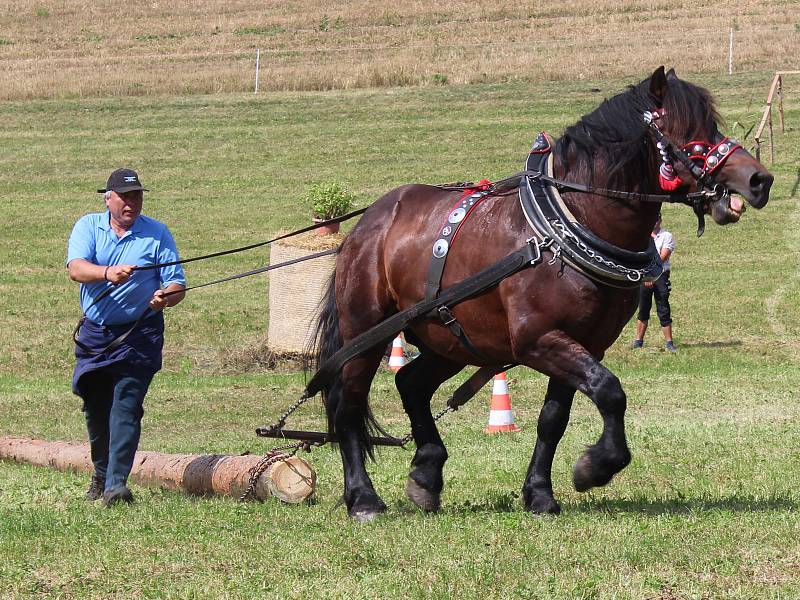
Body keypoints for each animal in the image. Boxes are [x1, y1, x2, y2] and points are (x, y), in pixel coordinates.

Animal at [310, 68, 772, 524]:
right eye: (688, 130)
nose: (759, 180)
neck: (567, 227)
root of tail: (368, 224)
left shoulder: (586, 343)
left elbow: (554, 419)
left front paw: (539, 493)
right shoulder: (538, 340)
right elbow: (610, 391)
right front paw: (595, 467)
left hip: (451, 339)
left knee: (410, 383)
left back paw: (426, 473)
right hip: (364, 333)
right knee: (349, 403)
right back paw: (363, 499)